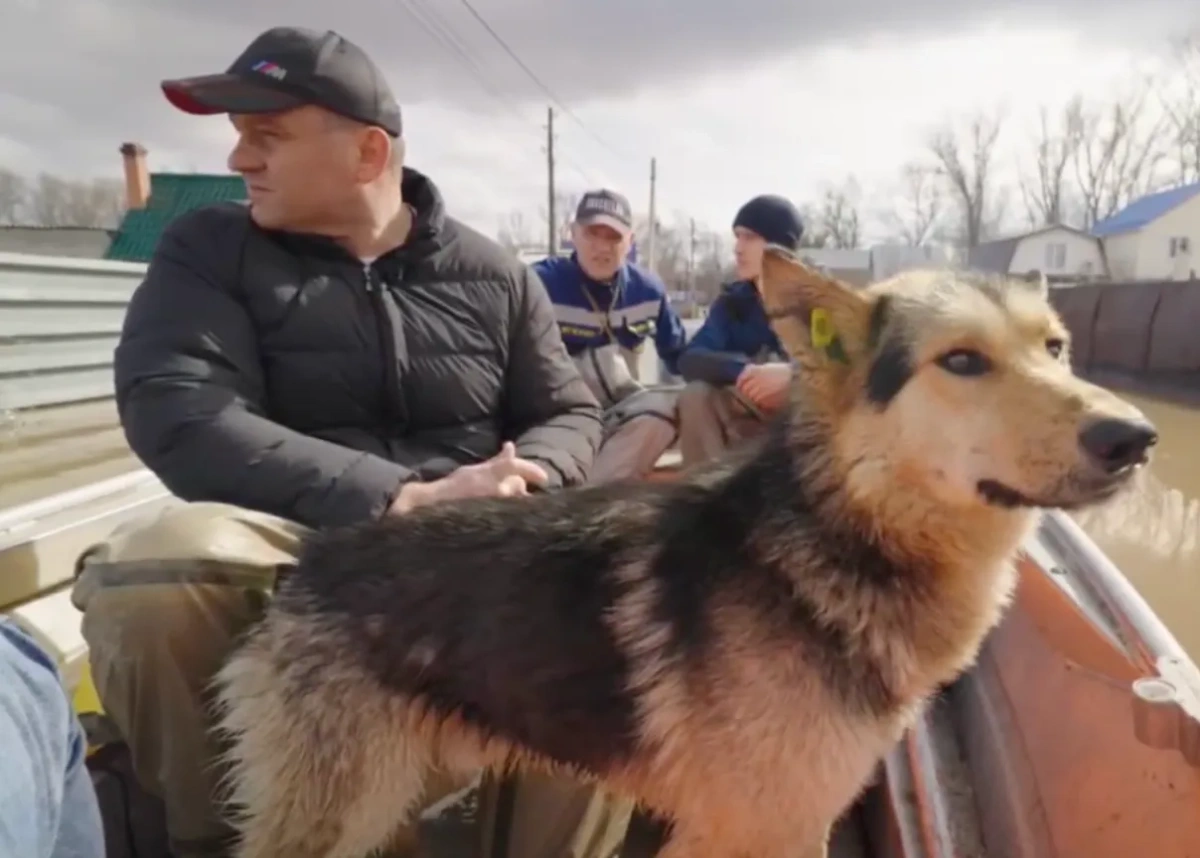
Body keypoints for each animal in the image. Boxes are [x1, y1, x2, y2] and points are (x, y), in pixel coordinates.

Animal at [213, 248, 1152, 858]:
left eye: (1056, 348)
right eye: (960, 361)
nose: (1134, 438)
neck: (833, 537)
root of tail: (310, 562)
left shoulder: (791, 822)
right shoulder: (751, 828)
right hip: (339, 811)